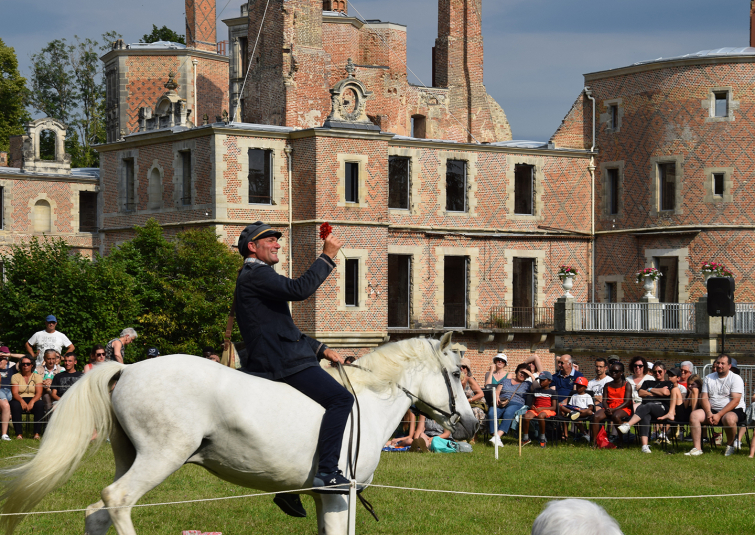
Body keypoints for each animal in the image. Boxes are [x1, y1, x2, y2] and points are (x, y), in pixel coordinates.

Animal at [0, 332, 476, 532]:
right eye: (456, 373)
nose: (471, 424)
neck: (367, 400)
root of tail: (128, 368)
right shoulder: (340, 493)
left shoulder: (325, 496)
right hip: (161, 457)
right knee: (117, 501)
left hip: (128, 456)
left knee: (95, 513)